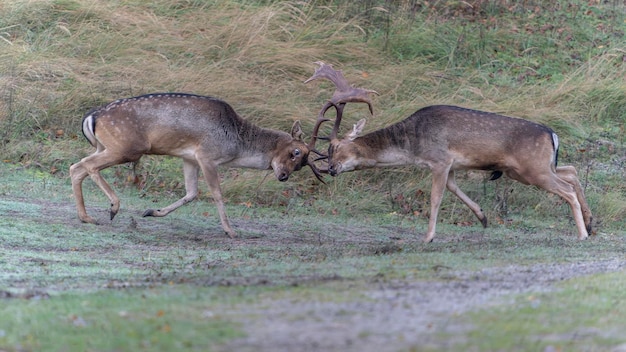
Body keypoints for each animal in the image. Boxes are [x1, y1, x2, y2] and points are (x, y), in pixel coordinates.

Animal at [69, 93, 322, 239]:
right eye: (295, 152)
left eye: (302, 164)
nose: (283, 176)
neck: (236, 144)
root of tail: (91, 117)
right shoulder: (207, 155)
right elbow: (216, 193)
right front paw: (231, 231)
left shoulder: (189, 158)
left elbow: (191, 192)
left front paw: (152, 212)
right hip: (127, 147)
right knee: (86, 165)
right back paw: (112, 208)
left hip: (106, 146)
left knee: (76, 167)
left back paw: (87, 217)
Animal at [306, 62, 588, 242]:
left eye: (335, 148)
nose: (330, 169)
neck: (413, 143)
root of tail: (552, 134)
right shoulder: (451, 166)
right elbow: (454, 189)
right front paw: (483, 218)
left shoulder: (440, 160)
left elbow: (435, 198)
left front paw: (428, 237)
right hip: (529, 168)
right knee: (572, 171)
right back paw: (592, 222)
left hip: (533, 169)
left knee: (567, 189)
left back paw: (583, 234)